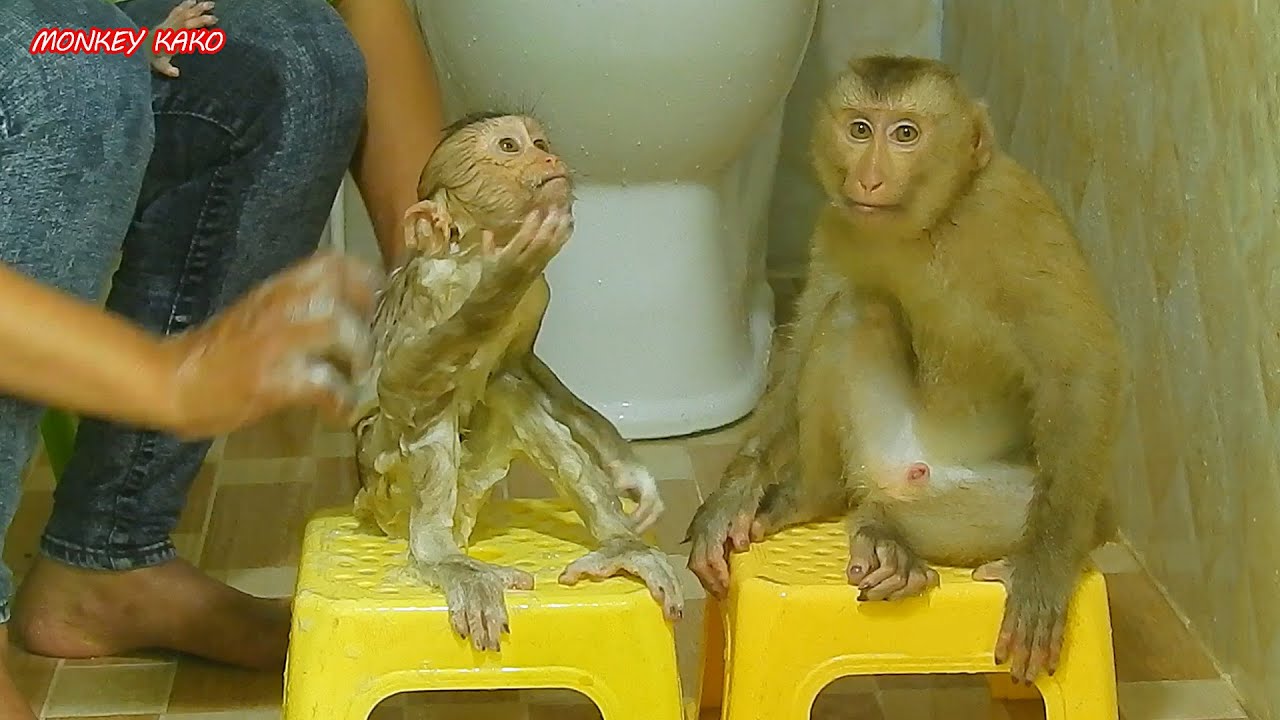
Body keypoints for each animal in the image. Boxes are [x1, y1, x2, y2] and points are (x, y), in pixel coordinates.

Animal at [350, 112, 681, 654]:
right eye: (509, 147)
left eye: (540, 141)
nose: (548, 156)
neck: (473, 257)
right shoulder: (435, 290)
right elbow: (397, 387)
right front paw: (502, 280)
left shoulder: (537, 297)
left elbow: (522, 365)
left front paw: (629, 471)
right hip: (385, 493)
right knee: (434, 409)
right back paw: (441, 557)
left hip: (471, 484)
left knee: (509, 391)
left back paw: (620, 544)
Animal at [685, 55, 1126, 685]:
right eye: (860, 129)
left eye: (906, 134)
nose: (868, 179)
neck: (931, 225)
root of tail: (901, 472)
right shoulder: (837, 225)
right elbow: (804, 338)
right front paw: (730, 498)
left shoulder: (1014, 214)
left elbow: (1079, 369)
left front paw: (1043, 571)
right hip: (868, 448)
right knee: (852, 309)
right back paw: (814, 498)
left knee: (1079, 512)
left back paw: (892, 534)